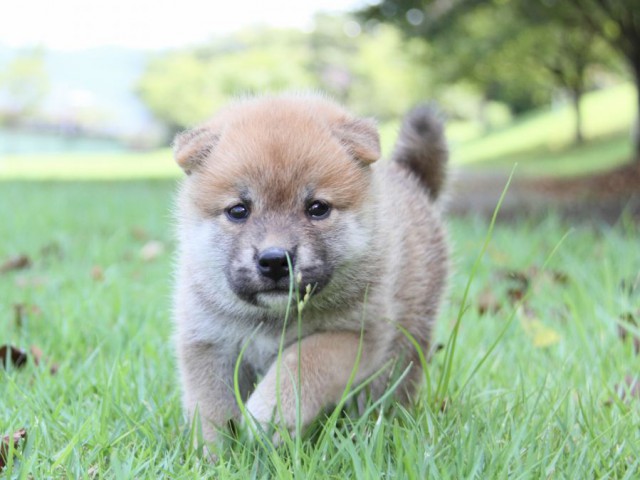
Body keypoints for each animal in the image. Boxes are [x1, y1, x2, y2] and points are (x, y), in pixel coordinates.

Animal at [172, 94, 448, 446]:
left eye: (317, 208)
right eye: (238, 210)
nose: (275, 259)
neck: (274, 319)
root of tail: (410, 180)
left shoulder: (356, 336)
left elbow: (302, 362)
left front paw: (270, 412)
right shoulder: (208, 343)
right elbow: (211, 409)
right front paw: (215, 453)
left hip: (407, 339)